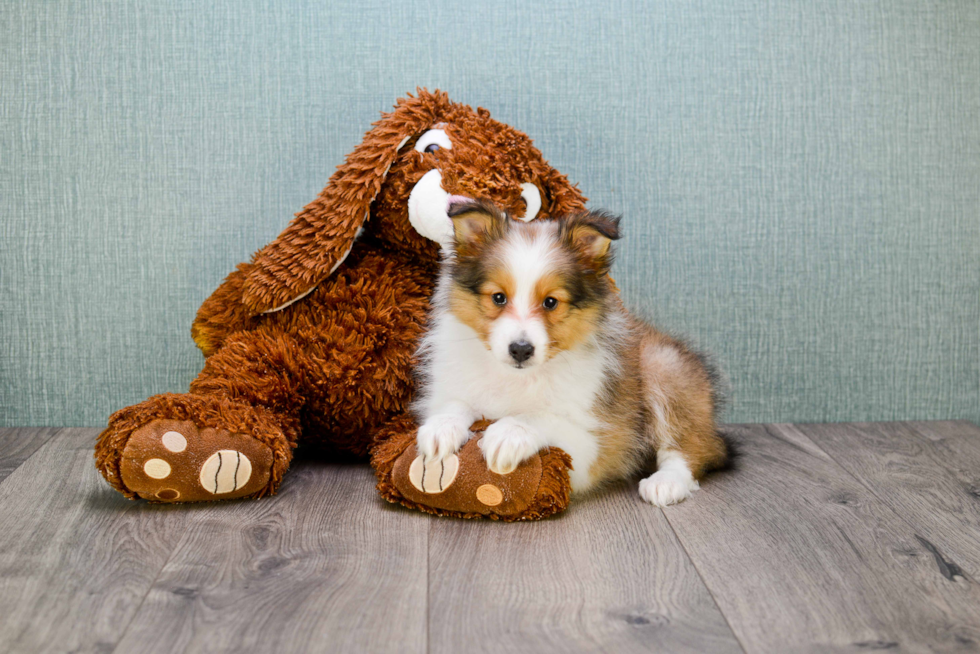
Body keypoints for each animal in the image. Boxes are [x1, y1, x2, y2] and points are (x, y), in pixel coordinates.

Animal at [414, 200, 728, 508]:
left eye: (551, 302)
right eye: (498, 297)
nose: (520, 350)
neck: (518, 377)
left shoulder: (595, 446)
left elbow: (543, 417)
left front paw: (510, 432)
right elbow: (457, 402)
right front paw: (440, 428)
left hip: (664, 367)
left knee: (691, 449)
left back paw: (665, 483)